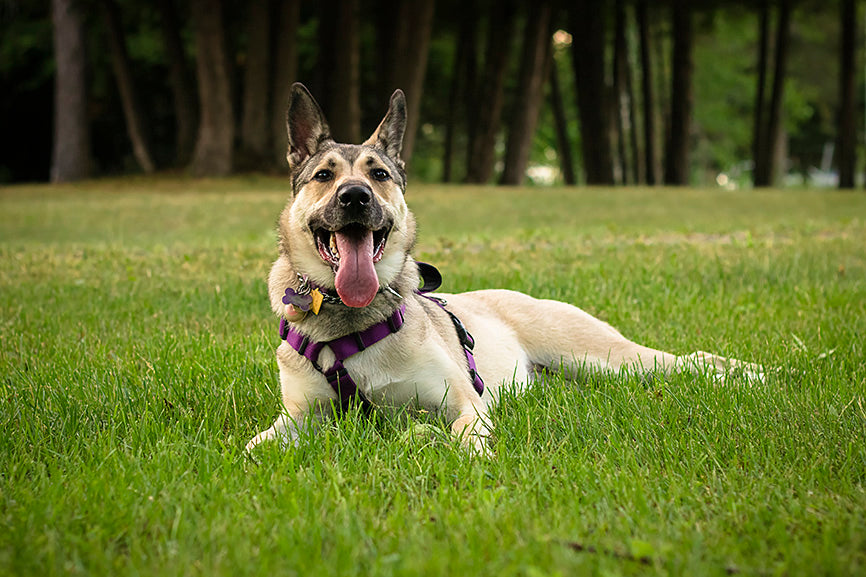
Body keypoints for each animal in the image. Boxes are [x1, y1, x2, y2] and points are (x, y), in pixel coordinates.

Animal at [245, 84, 764, 454]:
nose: (355, 197)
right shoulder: (299, 418)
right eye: (324, 176)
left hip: (602, 357)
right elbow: (253, 447)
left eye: (380, 175)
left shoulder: (463, 400)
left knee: (691, 360)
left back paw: (753, 374)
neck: (351, 319)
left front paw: (459, 453)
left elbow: (463, 435)